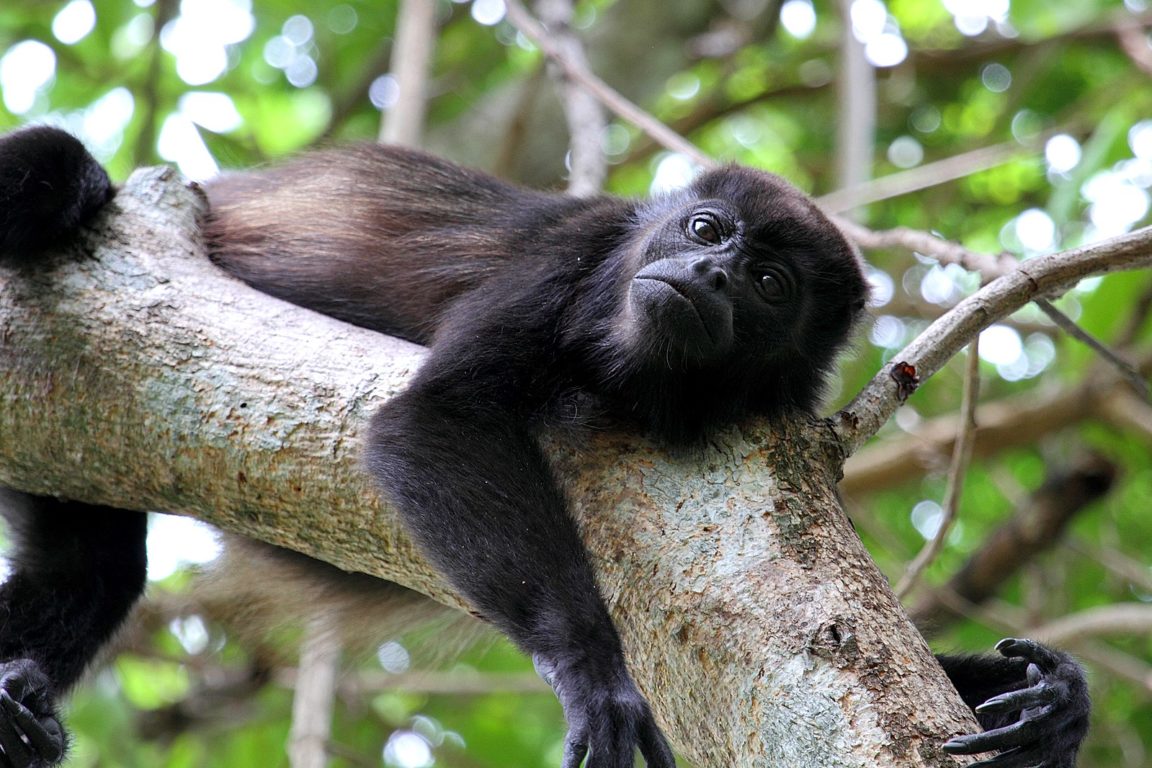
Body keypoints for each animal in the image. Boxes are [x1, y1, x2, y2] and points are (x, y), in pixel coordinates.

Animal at [0, 126, 1089, 767]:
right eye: (706, 230)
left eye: (771, 283)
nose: (710, 273)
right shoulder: (574, 257)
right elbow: (433, 418)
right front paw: (592, 671)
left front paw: (1047, 703)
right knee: (54, 167)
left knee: (89, 571)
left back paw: (18, 709)